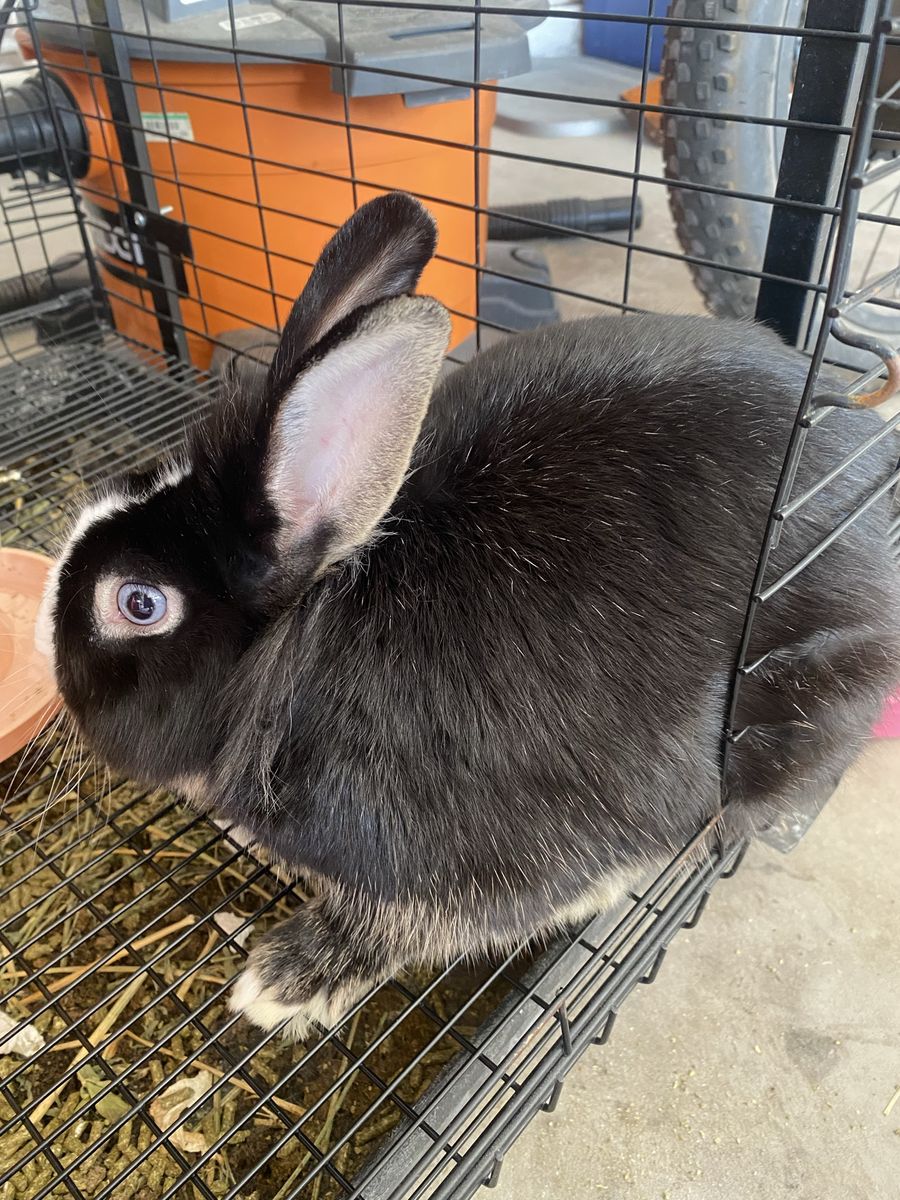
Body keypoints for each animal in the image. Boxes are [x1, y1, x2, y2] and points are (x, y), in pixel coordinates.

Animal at [35, 192, 900, 1040]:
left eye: (138, 602)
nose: (51, 664)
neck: (305, 656)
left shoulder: (466, 860)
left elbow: (410, 927)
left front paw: (281, 982)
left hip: (799, 704)